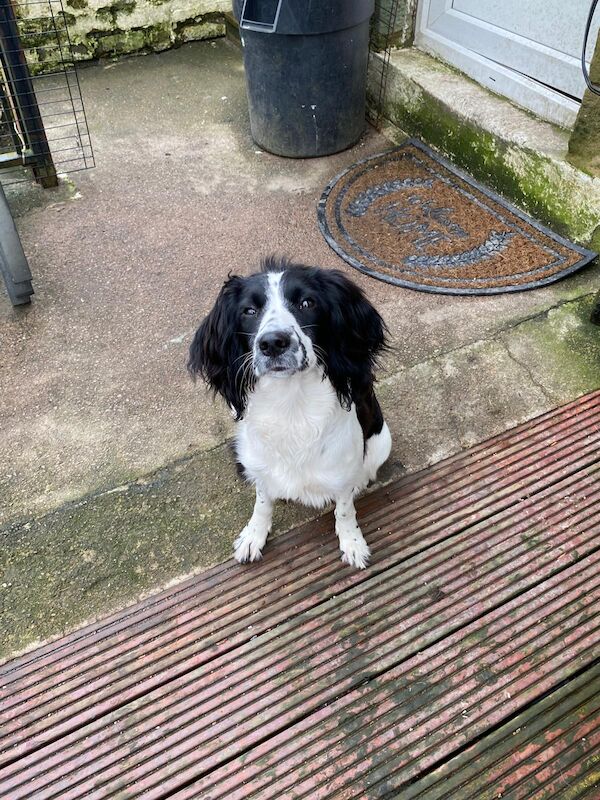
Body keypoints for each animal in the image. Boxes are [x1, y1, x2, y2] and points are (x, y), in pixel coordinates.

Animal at [189, 258, 394, 568]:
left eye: (307, 303)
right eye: (249, 311)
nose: (273, 343)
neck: (291, 404)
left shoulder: (343, 471)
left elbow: (344, 510)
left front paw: (352, 542)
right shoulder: (258, 464)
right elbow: (262, 503)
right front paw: (254, 535)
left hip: (382, 441)